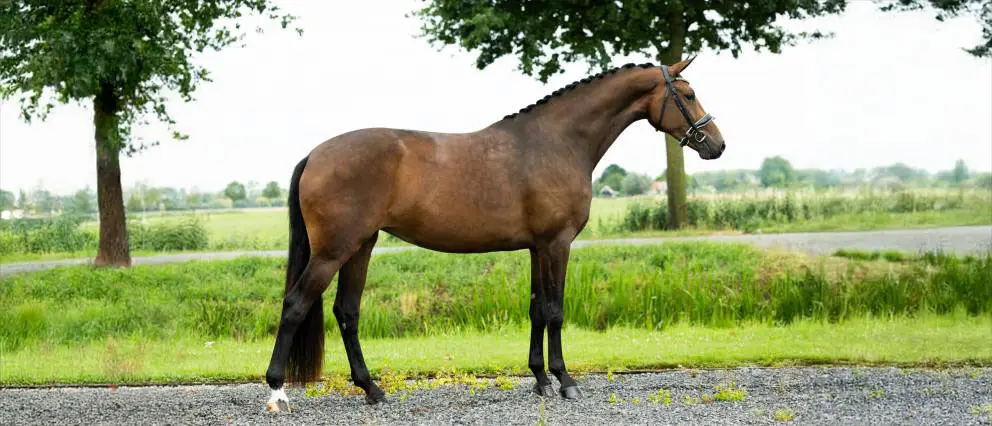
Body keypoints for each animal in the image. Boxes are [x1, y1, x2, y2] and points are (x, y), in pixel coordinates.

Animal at [264, 56, 726, 411]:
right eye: (687, 95)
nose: (717, 145)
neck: (556, 142)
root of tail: (315, 155)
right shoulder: (557, 244)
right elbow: (555, 311)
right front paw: (565, 381)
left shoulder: (537, 248)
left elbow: (537, 309)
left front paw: (540, 379)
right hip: (332, 252)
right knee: (295, 305)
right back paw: (277, 392)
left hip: (361, 246)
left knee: (347, 312)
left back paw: (372, 389)